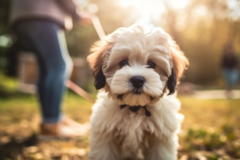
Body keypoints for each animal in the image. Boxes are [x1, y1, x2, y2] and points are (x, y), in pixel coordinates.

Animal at [87, 24, 188, 160]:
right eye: (123, 62)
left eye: (151, 64)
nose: (137, 80)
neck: (135, 108)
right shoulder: (104, 133)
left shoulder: (161, 137)